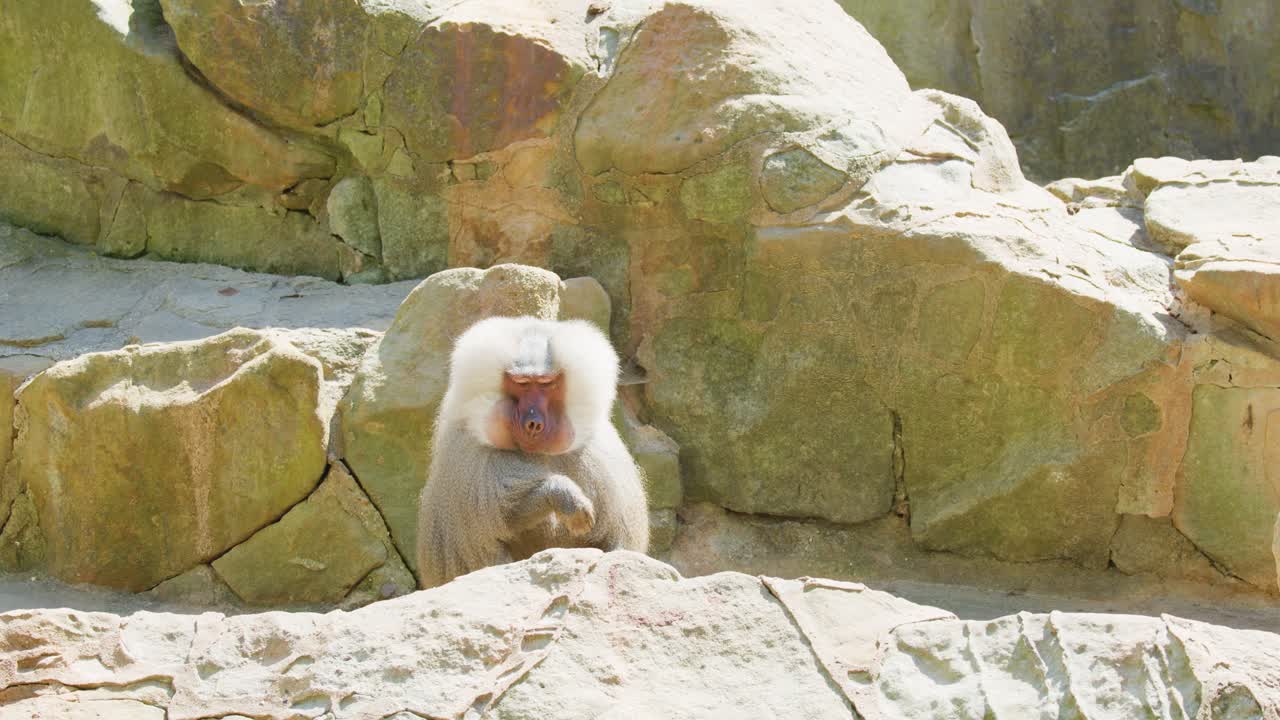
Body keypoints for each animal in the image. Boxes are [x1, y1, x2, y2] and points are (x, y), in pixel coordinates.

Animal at [415, 316, 649, 589]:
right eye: (523, 384)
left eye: (546, 384)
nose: (533, 424)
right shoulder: (471, 456)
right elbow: (505, 516)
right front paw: (564, 495)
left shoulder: (596, 453)